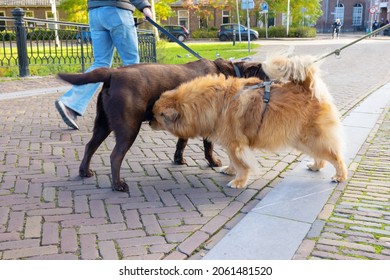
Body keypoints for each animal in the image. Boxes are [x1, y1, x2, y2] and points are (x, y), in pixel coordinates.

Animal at [58, 58, 266, 191]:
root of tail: (112, 74)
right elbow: (208, 146)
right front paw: (213, 162)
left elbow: (182, 142)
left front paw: (178, 159)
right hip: (128, 127)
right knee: (115, 156)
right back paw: (118, 185)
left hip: (103, 124)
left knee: (90, 146)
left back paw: (84, 172)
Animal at [151, 55, 348, 188]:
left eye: (156, 116)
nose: (150, 123)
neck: (211, 102)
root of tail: (308, 89)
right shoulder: (231, 144)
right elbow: (232, 161)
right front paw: (230, 171)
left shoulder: (236, 144)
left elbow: (241, 164)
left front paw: (238, 181)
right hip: (302, 140)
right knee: (321, 156)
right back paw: (316, 166)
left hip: (311, 139)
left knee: (335, 156)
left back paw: (339, 176)